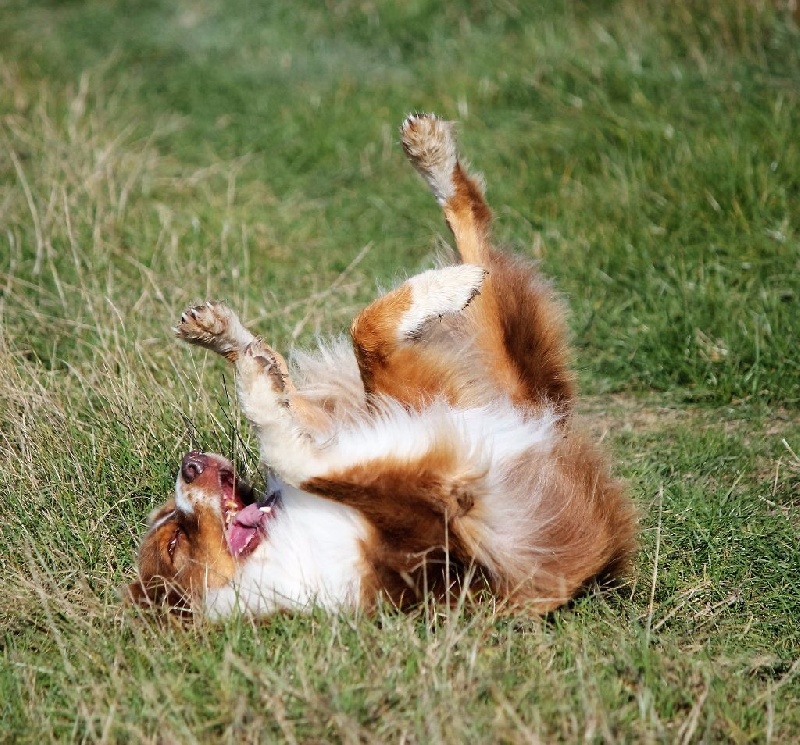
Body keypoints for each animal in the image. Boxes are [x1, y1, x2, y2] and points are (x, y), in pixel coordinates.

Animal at [127, 114, 636, 618]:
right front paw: (257, 384)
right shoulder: (437, 510)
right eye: (174, 543)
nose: (190, 463)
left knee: (460, 236)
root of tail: (551, 416)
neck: (281, 551)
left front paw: (249, 366)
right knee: (373, 333)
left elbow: (288, 421)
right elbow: (294, 452)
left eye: (171, 527)